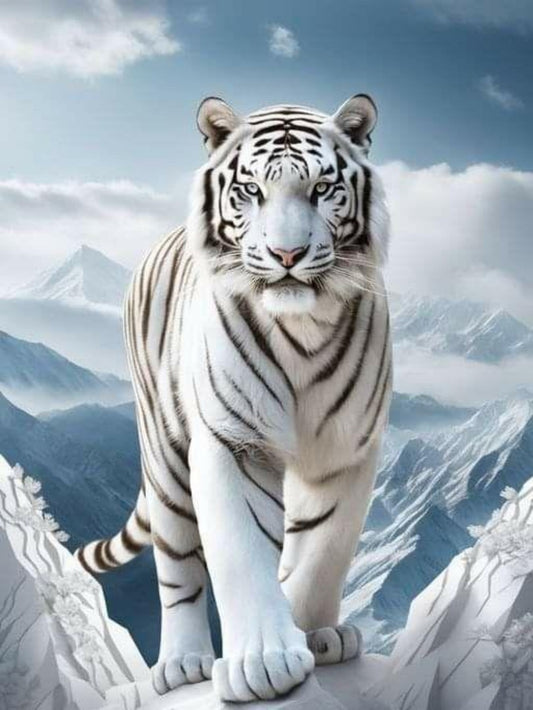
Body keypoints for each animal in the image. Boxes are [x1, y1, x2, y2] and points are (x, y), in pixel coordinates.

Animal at [76, 94, 392, 703]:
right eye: (251, 189)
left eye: (322, 188)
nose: (288, 253)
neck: (304, 328)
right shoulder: (233, 441)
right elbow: (240, 549)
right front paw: (265, 664)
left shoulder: (348, 449)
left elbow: (326, 547)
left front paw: (313, 634)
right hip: (164, 455)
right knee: (177, 563)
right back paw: (183, 663)